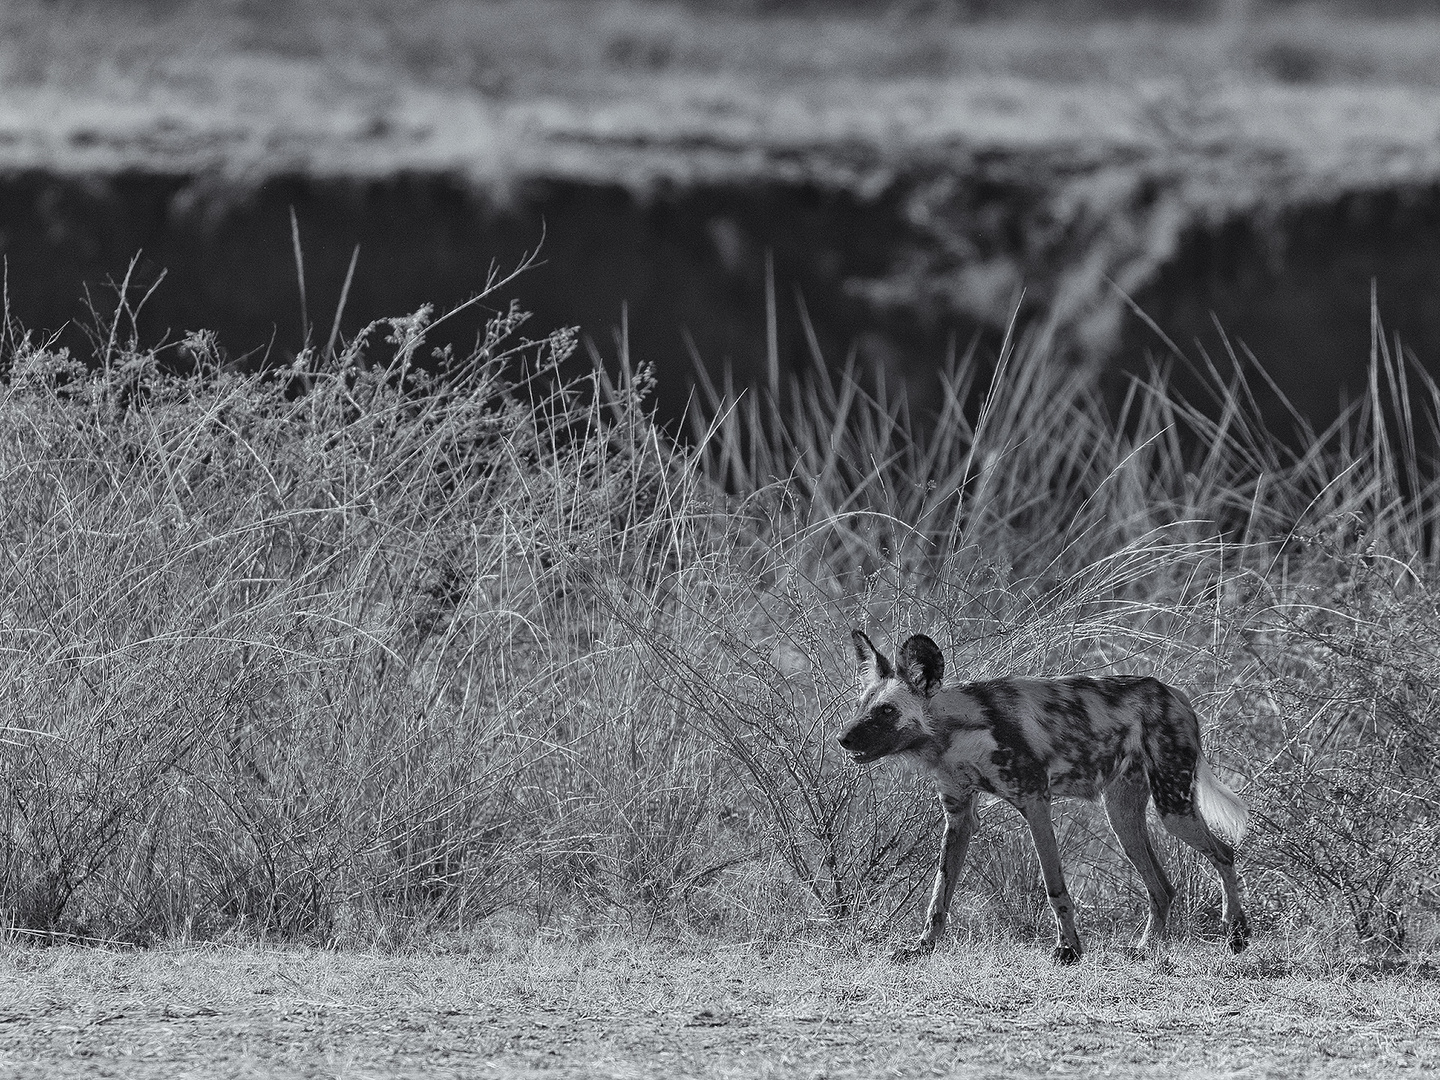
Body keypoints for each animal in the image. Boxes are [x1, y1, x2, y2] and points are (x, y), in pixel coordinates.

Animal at [840, 630, 1249, 967]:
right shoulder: (959, 818)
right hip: (1123, 818)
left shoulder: (1035, 803)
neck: (954, 732)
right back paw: (1146, 948)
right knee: (1162, 887)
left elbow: (1055, 888)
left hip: (1173, 810)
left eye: (887, 711)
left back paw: (1237, 934)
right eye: (861, 705)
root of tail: (1174, 693)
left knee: (1226, 853)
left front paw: (1068, 949)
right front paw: (922, 947)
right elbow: (939, 894)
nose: (842, 739)